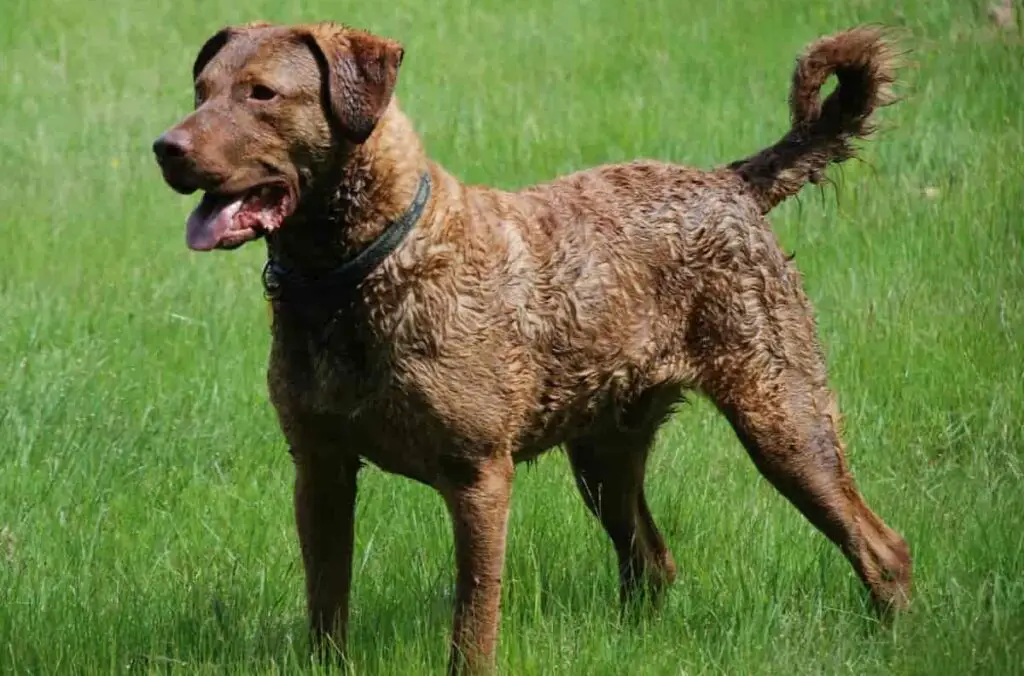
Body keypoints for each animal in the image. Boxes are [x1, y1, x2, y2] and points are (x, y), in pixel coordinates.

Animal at [153, 22, 913, 676]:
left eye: (262, 93)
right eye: (201, 89)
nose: (165, 147)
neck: (358, 276)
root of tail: (732, 183)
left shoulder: (478, 476)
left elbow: (472, 621)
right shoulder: (319, 467)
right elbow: (326, 604)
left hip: (782, 414)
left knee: (883, 547)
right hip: (605, 453)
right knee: (651, 561)